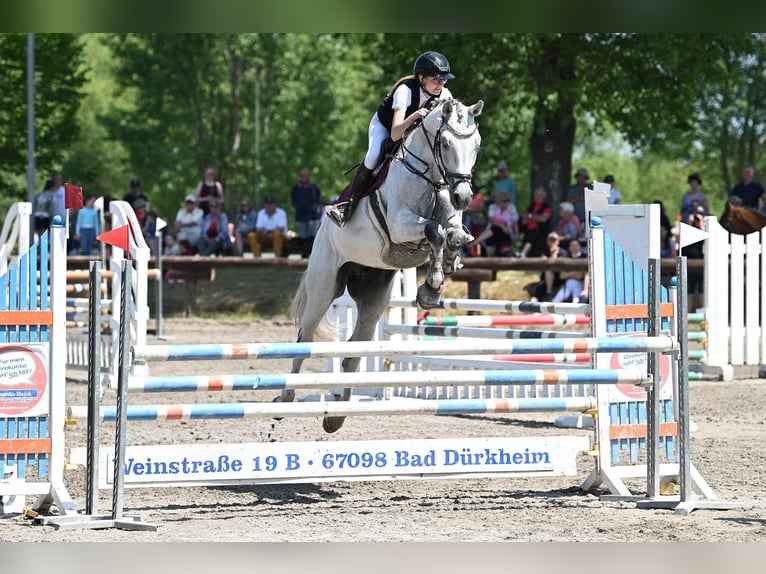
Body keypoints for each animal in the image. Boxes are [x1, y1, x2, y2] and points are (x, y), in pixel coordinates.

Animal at [283, 98, 484, 433]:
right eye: (444, 143)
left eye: (477, 145)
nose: (464, 196)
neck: (430, 177)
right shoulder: (401, 225)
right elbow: (434, 230)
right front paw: (432, 287)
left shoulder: (448, 217)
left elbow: (453, 234)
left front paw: (441, 274)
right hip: (324, 287)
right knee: (305, 338)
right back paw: (284, 399)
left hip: (373, 295)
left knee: (352, 354)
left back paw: (336, 417)